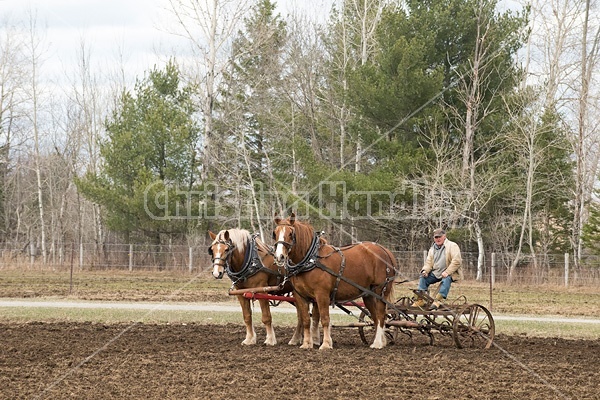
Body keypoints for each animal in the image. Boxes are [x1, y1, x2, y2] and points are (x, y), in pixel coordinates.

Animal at [274, 212, 396, 350]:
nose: (279, 256)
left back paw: (378, 343)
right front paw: (306, 344)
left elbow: (325, 319)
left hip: (381, 292)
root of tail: (386, 251)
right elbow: (305, 320)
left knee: (381, 316)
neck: (311, 259)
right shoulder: (300, 296)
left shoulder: (322, 295)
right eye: (275, 233)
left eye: (290, 233)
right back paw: (380, 341)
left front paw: (326, 344)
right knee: (375, 317)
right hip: (368, 294)